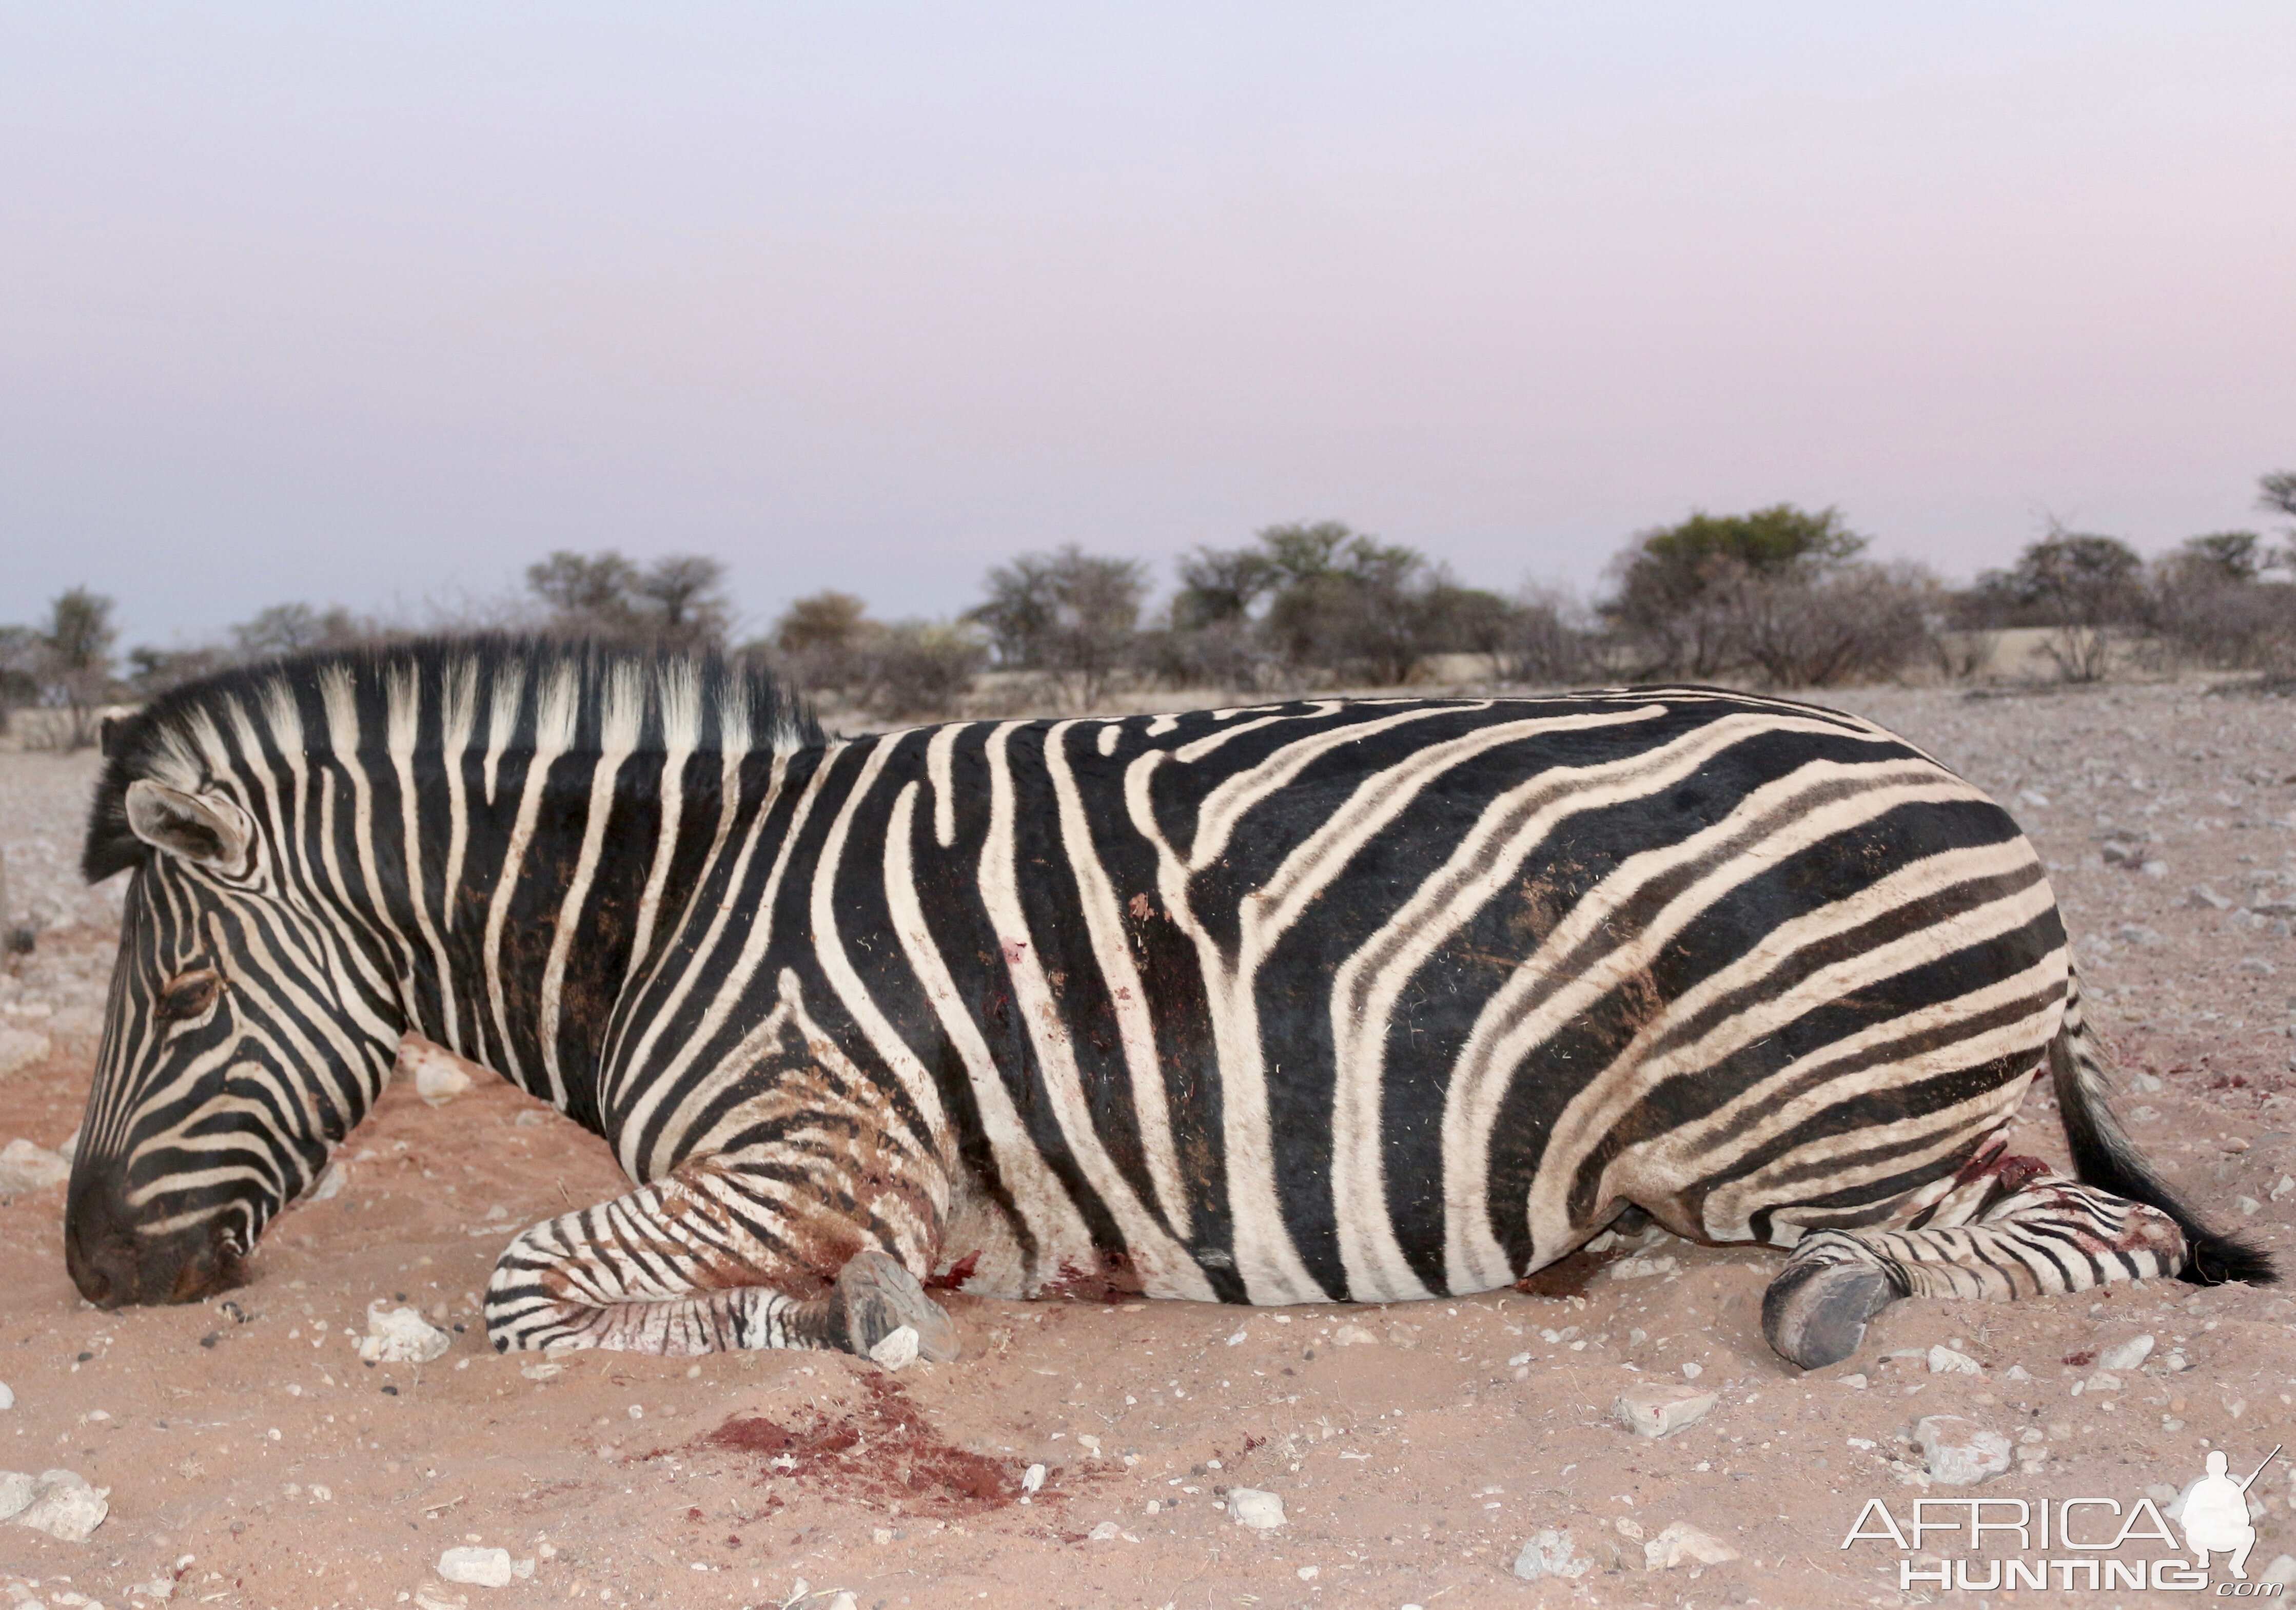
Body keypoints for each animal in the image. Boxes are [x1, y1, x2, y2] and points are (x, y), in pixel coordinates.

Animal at [63, 634, 2268, 1360]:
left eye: (173, 992)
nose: (87, 1271)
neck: (674, 904)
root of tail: (1970, 787)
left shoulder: (812, 1155)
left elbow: (526, 1289)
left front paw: (836, 1319)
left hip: (1787, 1127)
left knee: (2098, 1223)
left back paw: (1830, 1303)